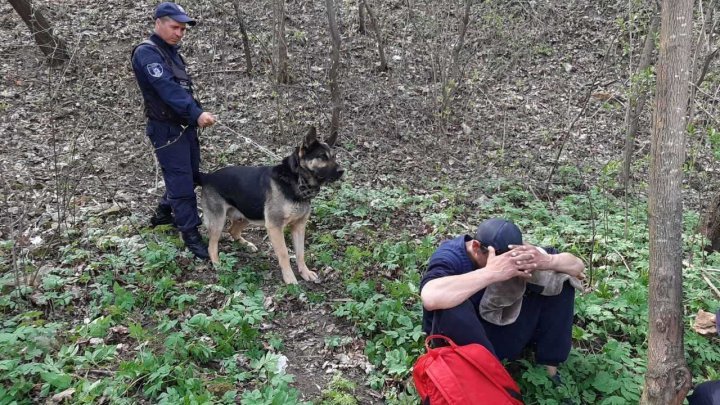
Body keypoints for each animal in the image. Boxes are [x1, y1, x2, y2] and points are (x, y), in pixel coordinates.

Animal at [197, 126, 344, 284]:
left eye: (334, 156)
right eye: (322, 156)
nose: (342, 171)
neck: (297, 180)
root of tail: (207, 176)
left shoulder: (299, 226)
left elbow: (300, 253)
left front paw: (305, 272)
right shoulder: (275, 227)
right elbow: (284, 254)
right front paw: (290, 278)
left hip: (248, 215)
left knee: (232, 230)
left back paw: (246, 244)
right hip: (218, 221)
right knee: (212, 246)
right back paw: (218, 265)